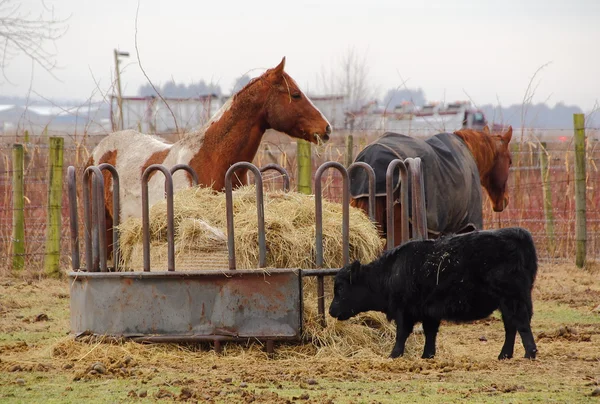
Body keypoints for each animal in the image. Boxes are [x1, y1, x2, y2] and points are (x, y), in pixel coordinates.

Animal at [328, 227, 540, 360]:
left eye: (340, 288)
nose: (331, 311)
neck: (391, 272)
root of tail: (517, 233)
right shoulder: (429, 312)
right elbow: (430, 333)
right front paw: (427, 355)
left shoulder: (405, 311)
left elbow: (402, 334)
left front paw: (394, 354)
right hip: (508, 303)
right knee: (511, 327)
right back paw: (504, 355)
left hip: (513, 299)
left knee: (521, 324)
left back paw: (529, 353)